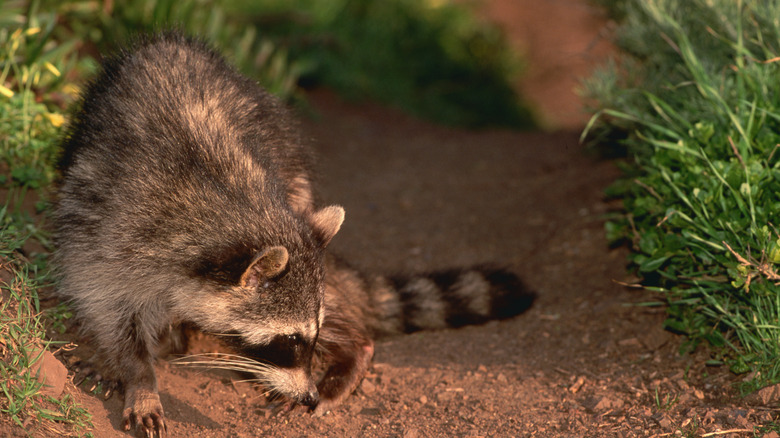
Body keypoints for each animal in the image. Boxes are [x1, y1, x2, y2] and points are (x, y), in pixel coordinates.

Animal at [52, 32, 533, 436]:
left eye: (308, 337)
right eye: (289, 340)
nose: (309, 394)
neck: (219, 208)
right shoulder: (104, 224)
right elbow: (101, 299)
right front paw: (135, 371)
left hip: (292, 168)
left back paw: (352, 350)